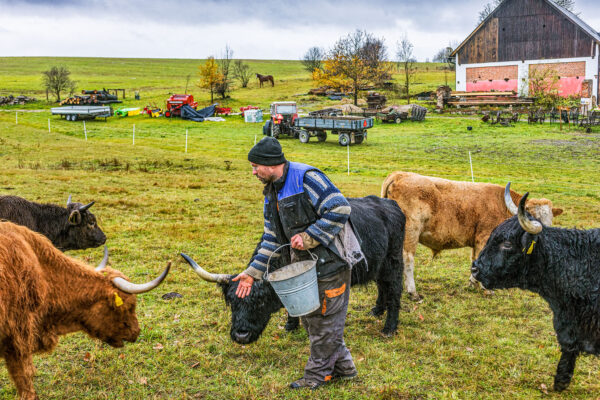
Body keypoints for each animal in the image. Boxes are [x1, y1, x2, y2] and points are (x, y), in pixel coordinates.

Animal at [183, 196, 406, 344]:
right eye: (231, 302)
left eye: (260, 301)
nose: (241, 335)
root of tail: (390, 204)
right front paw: (291, 325)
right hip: (379, 264)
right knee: (382, 285)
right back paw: (377, 310)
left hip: (394, 261)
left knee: (394, 290)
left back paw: (389, 327)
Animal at [380, 172, 564, 300]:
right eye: (531, 216)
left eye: (549, 220)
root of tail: (399, 175)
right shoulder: (484, 238)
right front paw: (486, 288)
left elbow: (475, 259)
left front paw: (473, 283)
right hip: (411, 232)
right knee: (408, 260)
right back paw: (413, 293)